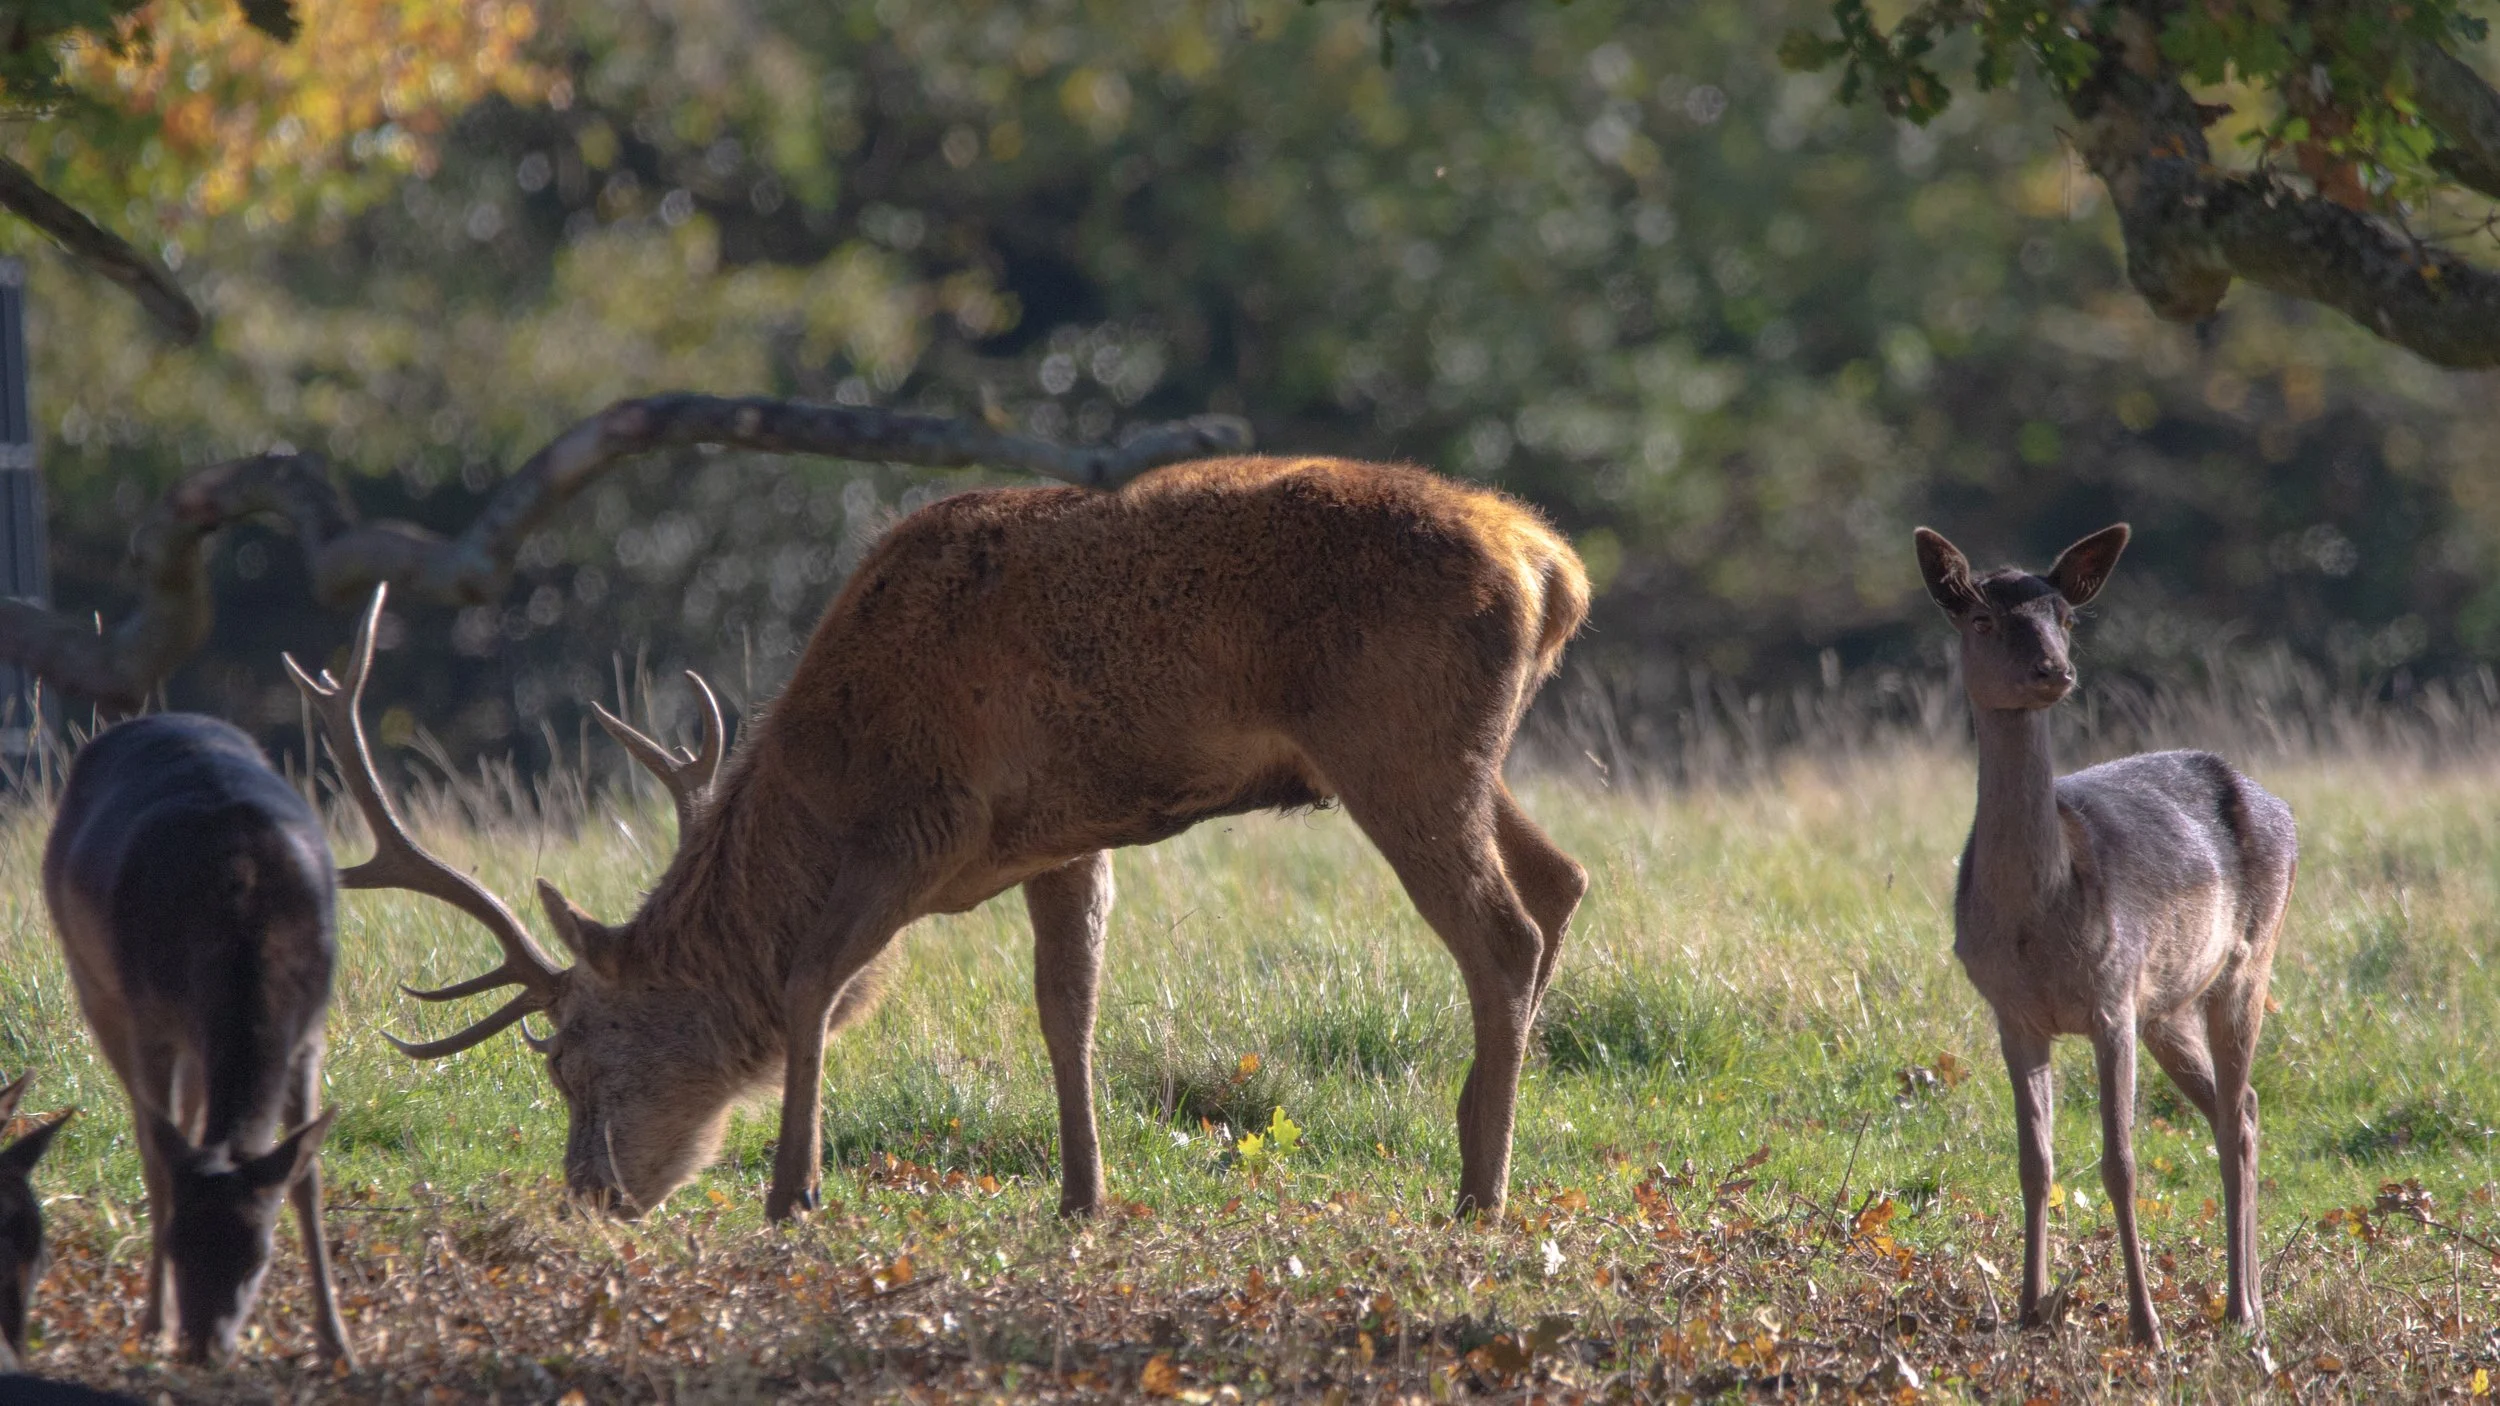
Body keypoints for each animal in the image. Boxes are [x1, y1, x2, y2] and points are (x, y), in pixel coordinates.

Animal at [43, 715, 354, 1365]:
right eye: (177, 1243)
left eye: (259, 1256)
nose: (203, 1349)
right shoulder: (149, 1018)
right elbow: (158, 1161)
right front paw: (152, 1324)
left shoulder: (310, 1030)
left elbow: (306, 1178)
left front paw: (337, 1341)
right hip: (95, 984)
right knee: (159, 1133)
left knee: (187, 1118)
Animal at [295, 454, 1590, 1223]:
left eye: (571, 1060)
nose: (589, 1195)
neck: (832, 763)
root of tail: (1551, 566)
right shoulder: (1061, 833)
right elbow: (1067, 1005)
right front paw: (1081, 1194)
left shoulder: (937, 813)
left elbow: (813, 977)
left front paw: (793, 1188)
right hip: (1456, 751)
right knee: (1563, 879)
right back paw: (1480, 1137)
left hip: (1394, 742)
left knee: (1501, 931)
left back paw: (1478, 1188)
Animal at [1915, 523, 2296, 1349]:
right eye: (1981, 618)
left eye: (2065, 616)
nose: (2052, 670)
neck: (2035, 921)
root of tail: (2278, 804)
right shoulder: (2013, 1013)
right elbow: (2035, 1161)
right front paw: (2030, 1309)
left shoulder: (2111, 996)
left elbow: (2120, 1161)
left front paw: (2145, 1326)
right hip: (2168, 1006)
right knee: (2242, 1108)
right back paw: (2244, 1298)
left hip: (2248, 963)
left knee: (2235, 1112)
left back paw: (2244, 1309)